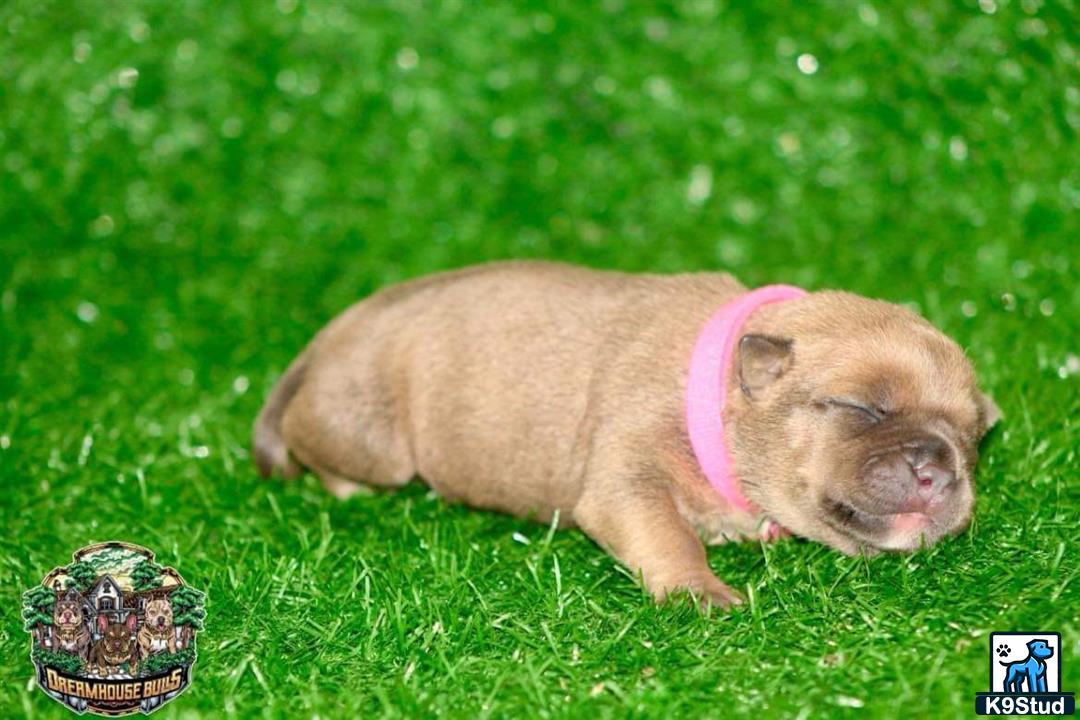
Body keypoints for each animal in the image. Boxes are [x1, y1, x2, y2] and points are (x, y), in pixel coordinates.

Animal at [250, 262, 993, 604]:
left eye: (973, 436)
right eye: (862, 408)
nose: (938, 468)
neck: (719, 394)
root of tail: (329, 336)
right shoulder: (627, 478)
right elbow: (665, 532)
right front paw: (699, 592)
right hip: (371, 437)